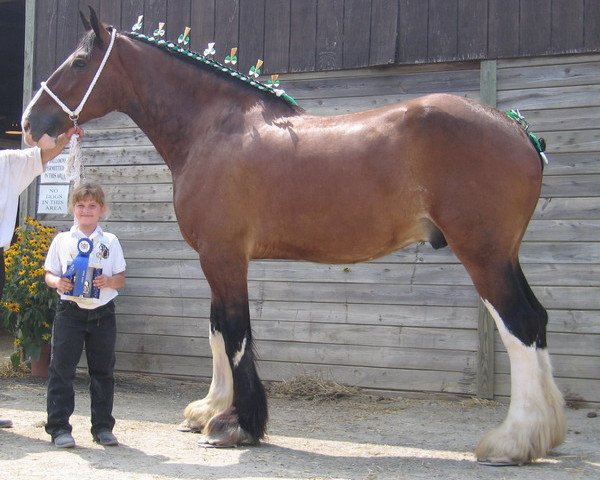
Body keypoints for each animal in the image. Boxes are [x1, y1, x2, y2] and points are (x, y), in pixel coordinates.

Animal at [23, 7, 564, 464]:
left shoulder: (224, 256)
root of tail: (516, 129)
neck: (214, 129)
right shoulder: (217, 258)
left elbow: (235, 333)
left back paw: (512, 442)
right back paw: (543, 435)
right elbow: (217, 330)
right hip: (503, 255)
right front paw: (209, 410)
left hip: (483, 253)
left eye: (78, 62)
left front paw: (237, 425)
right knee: (536, 320)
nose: (30, 123)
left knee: (518, 325)